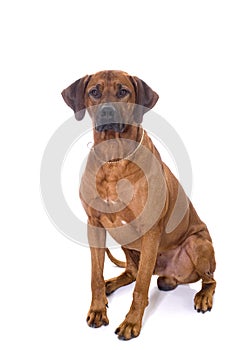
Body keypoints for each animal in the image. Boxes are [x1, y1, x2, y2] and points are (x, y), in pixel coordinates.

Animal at [61, 69, 216, 340]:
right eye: (94, 92)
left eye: (123, 91)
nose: (107, 112)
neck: (114, 159)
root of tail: (169, 276)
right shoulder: (94, 225)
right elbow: (96, 276)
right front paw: (98, 309)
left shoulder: (150, 230)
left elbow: (142, 287)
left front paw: (132, 322)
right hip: (126, 242)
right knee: (132, 271)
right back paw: (112, 283)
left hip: (197, 245)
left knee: (211, 280)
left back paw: (203, 297)